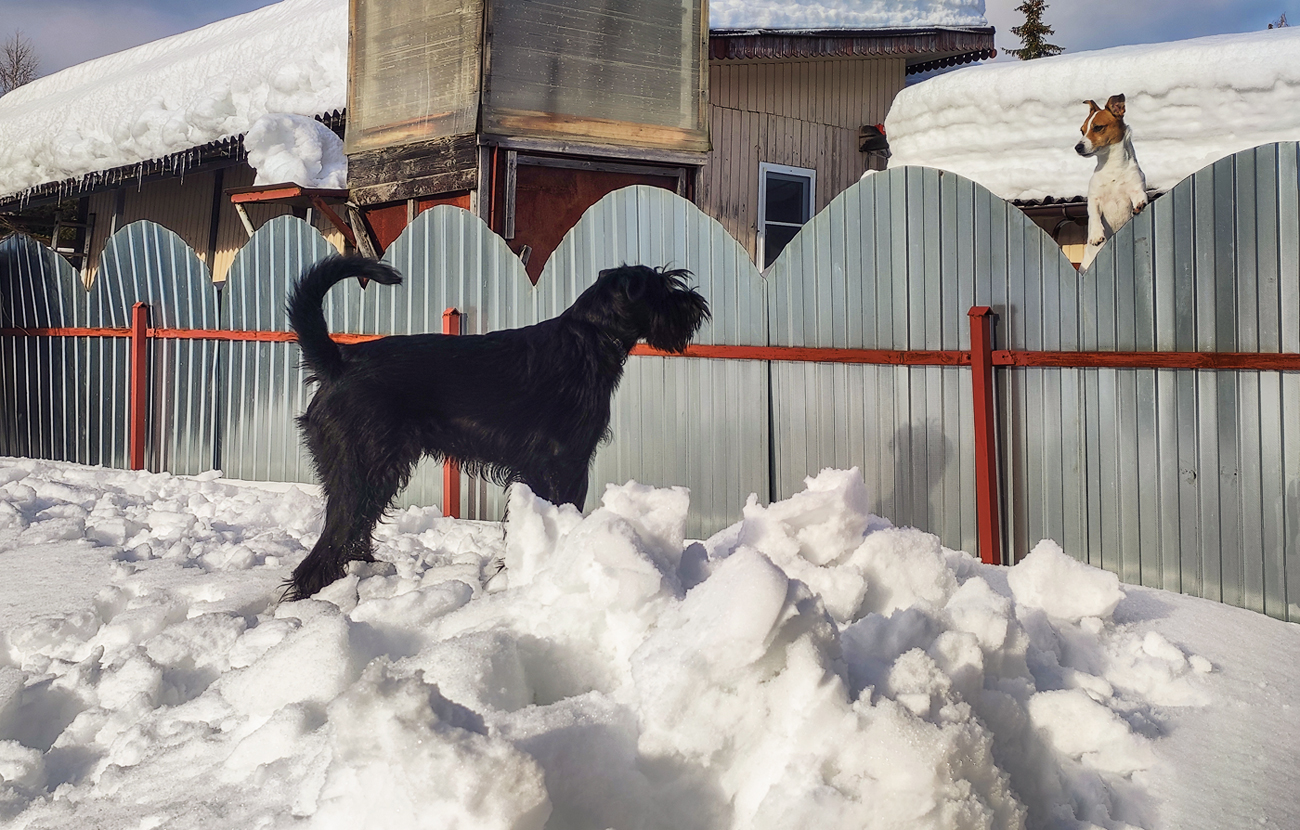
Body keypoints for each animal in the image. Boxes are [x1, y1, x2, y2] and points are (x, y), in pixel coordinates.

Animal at [286, 257, 712, 601]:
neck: (591, 337)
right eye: (662, 288)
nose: (696, 304)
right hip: (362, 471)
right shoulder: (564, 464)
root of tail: (338, 360)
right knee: (330, 541)